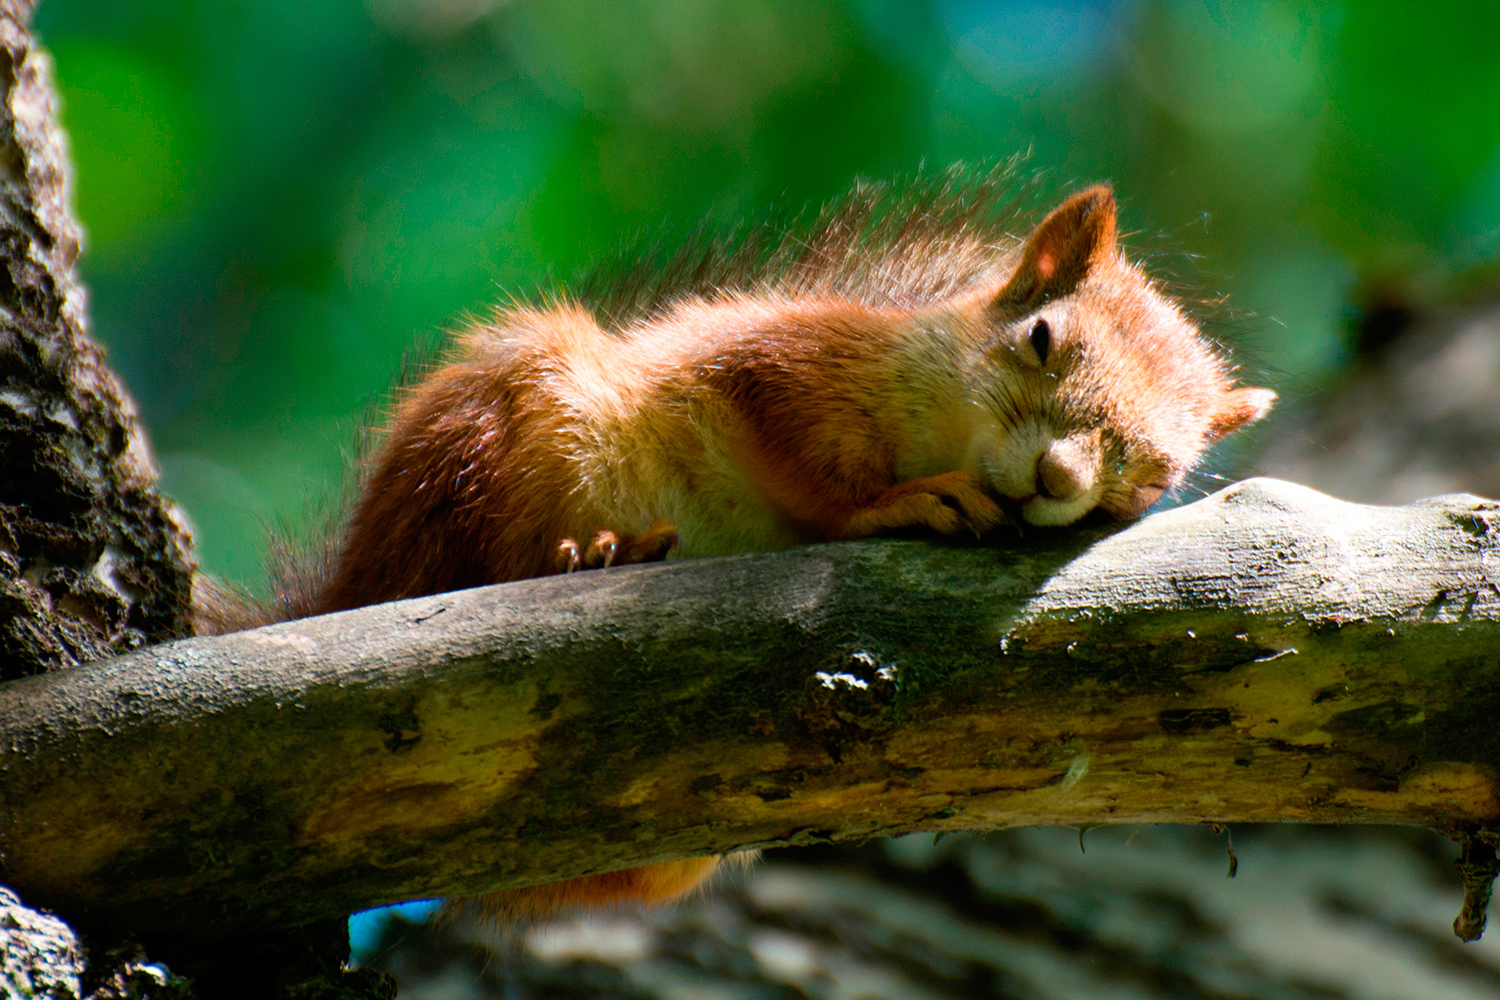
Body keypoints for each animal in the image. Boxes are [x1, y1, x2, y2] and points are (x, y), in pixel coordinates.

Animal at [205, 164, 1272, 923]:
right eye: (1043, 338)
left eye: (1153, 476)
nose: (1058, 480)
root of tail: (351, 578)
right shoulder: (785, 362)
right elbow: (804, 462)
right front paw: (897, 503)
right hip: (494, 428)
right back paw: (589, 556)